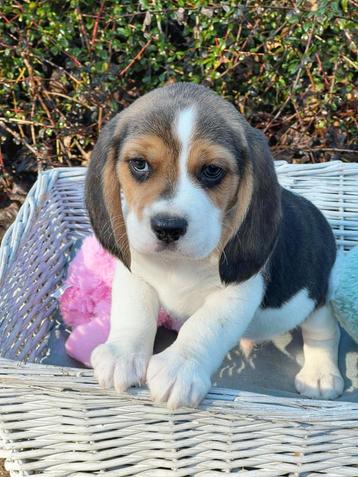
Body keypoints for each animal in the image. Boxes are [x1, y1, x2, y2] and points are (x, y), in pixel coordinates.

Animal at [84, 83, 344, 408]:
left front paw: (179, 368)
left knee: (324, 329)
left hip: (320, 292)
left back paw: (320, 375)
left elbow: (205, 326)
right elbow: (134, 310)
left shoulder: (238, 293)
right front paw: (123, 353)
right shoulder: (135, 271)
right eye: (139, 164)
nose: (168, 228)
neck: (177, 265)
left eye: (212, 170)